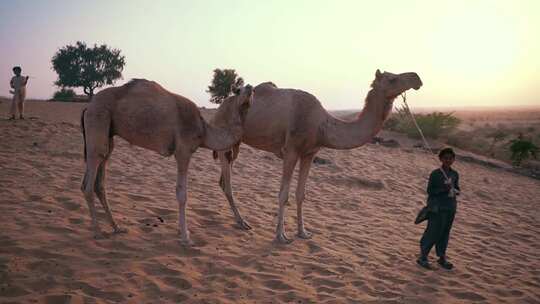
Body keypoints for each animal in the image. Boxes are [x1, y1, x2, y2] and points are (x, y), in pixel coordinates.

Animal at [81, 78, 254, 245]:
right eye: (238, 90)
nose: (250, 87)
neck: (204, 131)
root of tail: (88, 106)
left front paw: (183, 232)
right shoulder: (183, 151)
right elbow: (182, 193)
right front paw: (185, 237)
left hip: (108, 134)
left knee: (99, 181)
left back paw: (117, 227)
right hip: (98, 119)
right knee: (90, 180)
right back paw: (98, 232)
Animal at [215, 69, 422, 242]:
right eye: (392, 78)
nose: (417, 78)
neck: (322, 125)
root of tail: (222, 106)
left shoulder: (310, 153)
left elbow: (301, 194)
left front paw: (303, 232)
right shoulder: (291, 150)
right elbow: (283, 194)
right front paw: (281, 235)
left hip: (236, 144)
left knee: (224, 179)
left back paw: (240, 220)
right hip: (224, 137)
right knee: (228, 183)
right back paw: (243, 222)